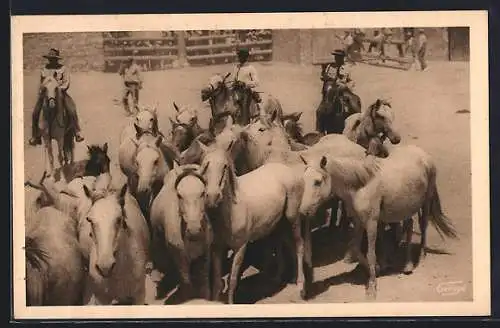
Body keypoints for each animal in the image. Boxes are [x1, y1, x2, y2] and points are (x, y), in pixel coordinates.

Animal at [350, 145, 458, 300]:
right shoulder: (371, 219)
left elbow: (372, 249)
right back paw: (407, 264)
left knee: (423, 224)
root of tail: (423, 153)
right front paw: (383, 264)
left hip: (426, 200)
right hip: (407, 205)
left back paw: (420, 256)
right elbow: (372, 241)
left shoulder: (372, 219)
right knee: (409, 225)